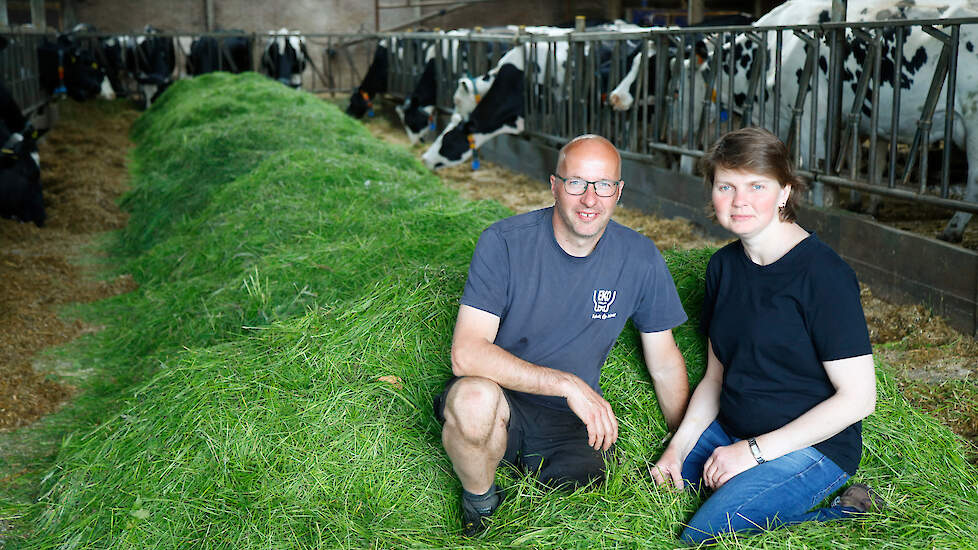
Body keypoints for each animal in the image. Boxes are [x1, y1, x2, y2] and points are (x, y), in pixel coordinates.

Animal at [696, 0, 976, 244]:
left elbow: (814, 163)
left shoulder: (813, 109)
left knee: (973, 182)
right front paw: (866, 205)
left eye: (697, 75)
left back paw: (952, 229)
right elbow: (867, 160)